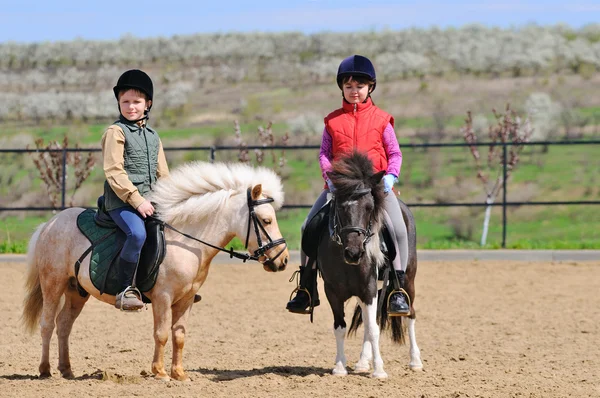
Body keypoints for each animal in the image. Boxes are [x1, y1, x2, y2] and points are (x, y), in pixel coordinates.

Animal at [24, 160, 292, 380]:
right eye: (266, 220)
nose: (283, 260)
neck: (187, 243)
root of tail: (50, 224)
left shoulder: (186, 300)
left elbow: (179, 335)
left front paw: (179, 374)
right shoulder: (163, 297)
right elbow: (161, 333)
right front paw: (160, 372)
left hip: (77, 290)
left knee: (64, 325)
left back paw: (66, 370)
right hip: (53, 283)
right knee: (48, 323)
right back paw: (45, 370)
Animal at [318, 151, 422, 378]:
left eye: (369, 207)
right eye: (340, 207)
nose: (354, 252)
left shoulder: (369, 286)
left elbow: (374, 328)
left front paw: (379, 370)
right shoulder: (333, 291)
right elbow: (341, 326)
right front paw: (340, 367)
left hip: (408, 279)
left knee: (410, 314)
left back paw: (415, 361)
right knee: (366, 321)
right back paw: (362, 362)